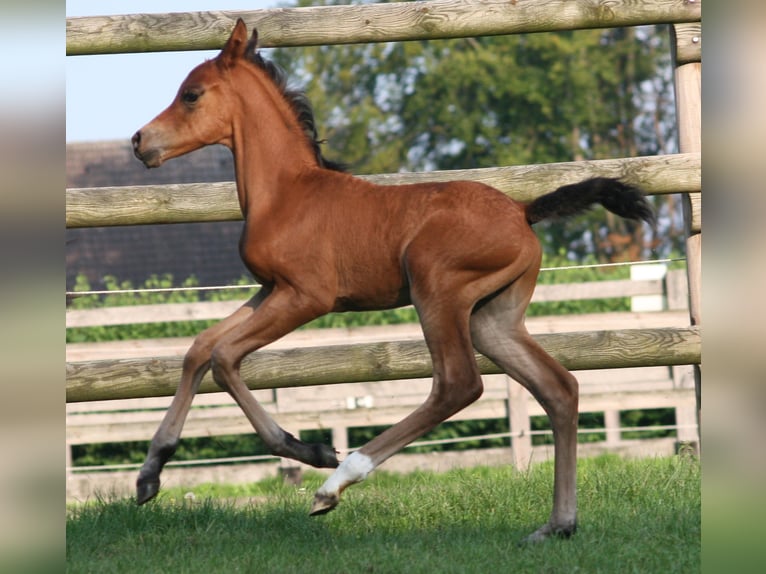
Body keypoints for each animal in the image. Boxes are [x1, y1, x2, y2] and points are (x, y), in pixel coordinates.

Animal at [130, 19, 656, 544]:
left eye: (191, 95)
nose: (139, 141)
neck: (287, 193)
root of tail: (524, 210)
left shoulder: (306, 296)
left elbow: (224, 357)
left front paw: (311, 450)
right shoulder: (268, 290)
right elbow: (199, 348)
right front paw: (150, 474)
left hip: (436, 292)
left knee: (458, 385)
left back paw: (337, 482)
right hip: (493, 318)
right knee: (559, 388)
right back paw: (558, 525)